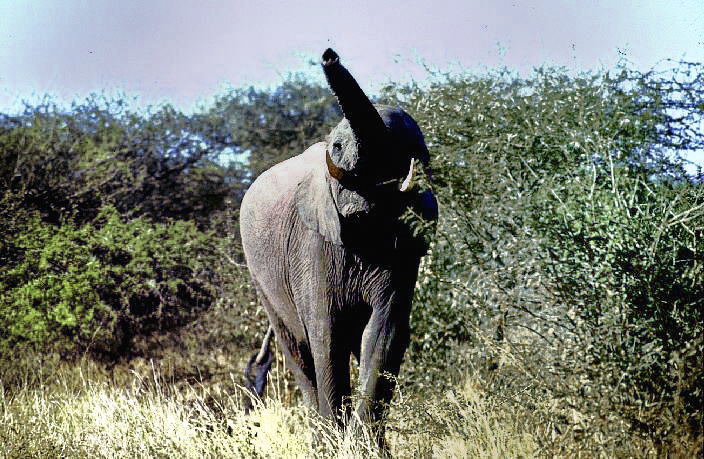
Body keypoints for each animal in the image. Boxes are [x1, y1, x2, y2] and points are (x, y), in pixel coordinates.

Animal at [239, 46, 438, 442]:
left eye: (406, 150)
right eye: (338, 146)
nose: (329, 55)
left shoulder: (404, 253)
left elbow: (383, 335)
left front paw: (363, 443)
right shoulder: (311, 245)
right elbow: (325, 334)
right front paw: (337, 441)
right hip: (261, 279)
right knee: (297, 351)